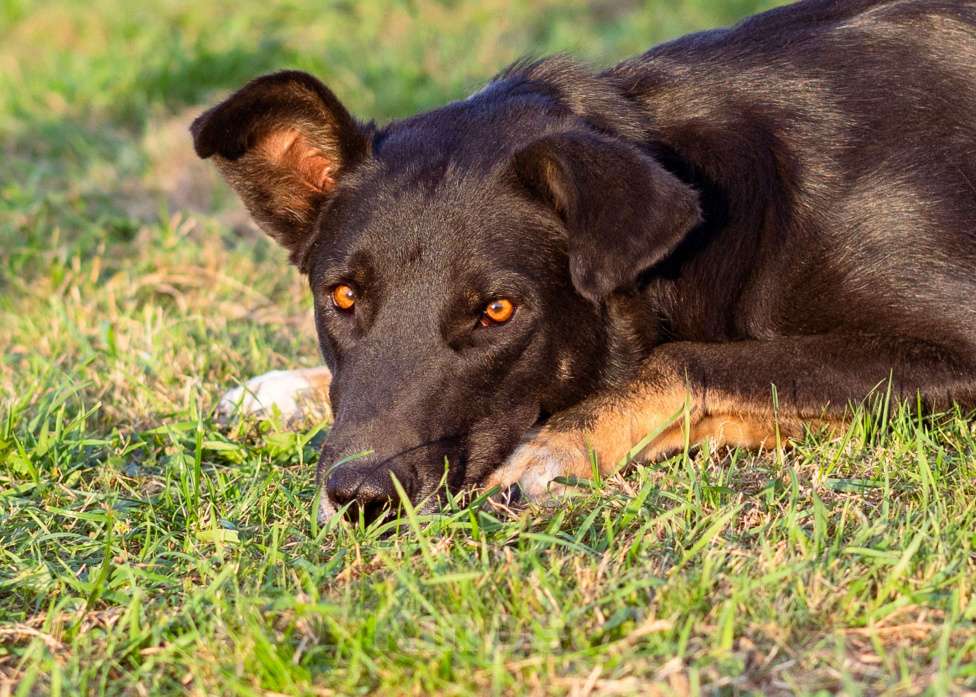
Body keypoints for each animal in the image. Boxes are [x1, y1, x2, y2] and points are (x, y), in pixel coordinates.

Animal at [191, 0, 976, 520]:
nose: (360, 499)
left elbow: (688, 358)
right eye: (343, 297)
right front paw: (284, 387)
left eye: (498, 311)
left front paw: (559, 443)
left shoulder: (956, 348)